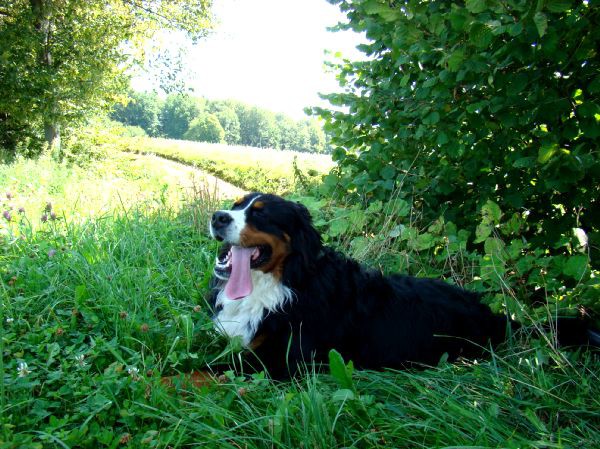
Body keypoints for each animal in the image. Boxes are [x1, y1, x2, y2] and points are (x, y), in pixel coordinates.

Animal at [209, 192, 596, 378]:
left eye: (260, 213)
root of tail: (495, 315)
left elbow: (205, 372)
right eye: (235, 205)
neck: (284, 283)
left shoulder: (284, 362)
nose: (217, 216)